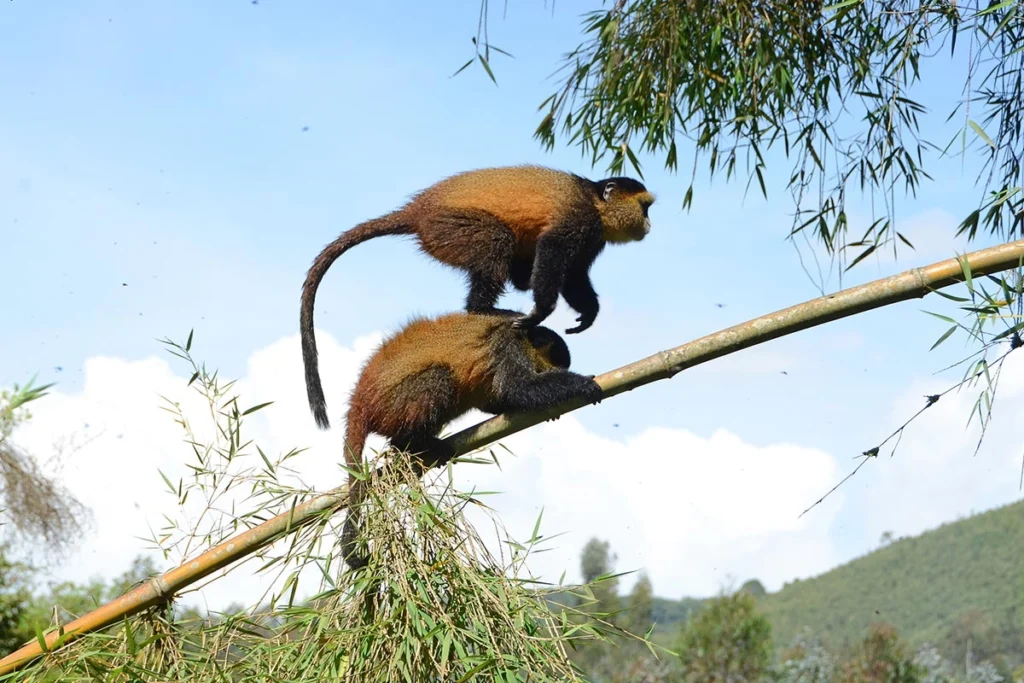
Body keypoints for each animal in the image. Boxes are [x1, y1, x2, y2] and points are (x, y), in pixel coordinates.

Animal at [300, 164, 654, 429]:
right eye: (645, 207)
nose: (649, 224)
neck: (595, 201)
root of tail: (416, 211)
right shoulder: (580, 220)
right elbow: (553, 247)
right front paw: (541, 312)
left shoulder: (592, 236)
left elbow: (575, 275)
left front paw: (587, 313)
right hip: (448, 229)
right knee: (496, 240)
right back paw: (485, 310)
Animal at [338, 308, 604, 570]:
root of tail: (359, 400)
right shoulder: (507, 343)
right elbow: (518, 387)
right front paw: (583, 384)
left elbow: (500, 397)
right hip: (393, 404)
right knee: (439, 377)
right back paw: (412, 442)